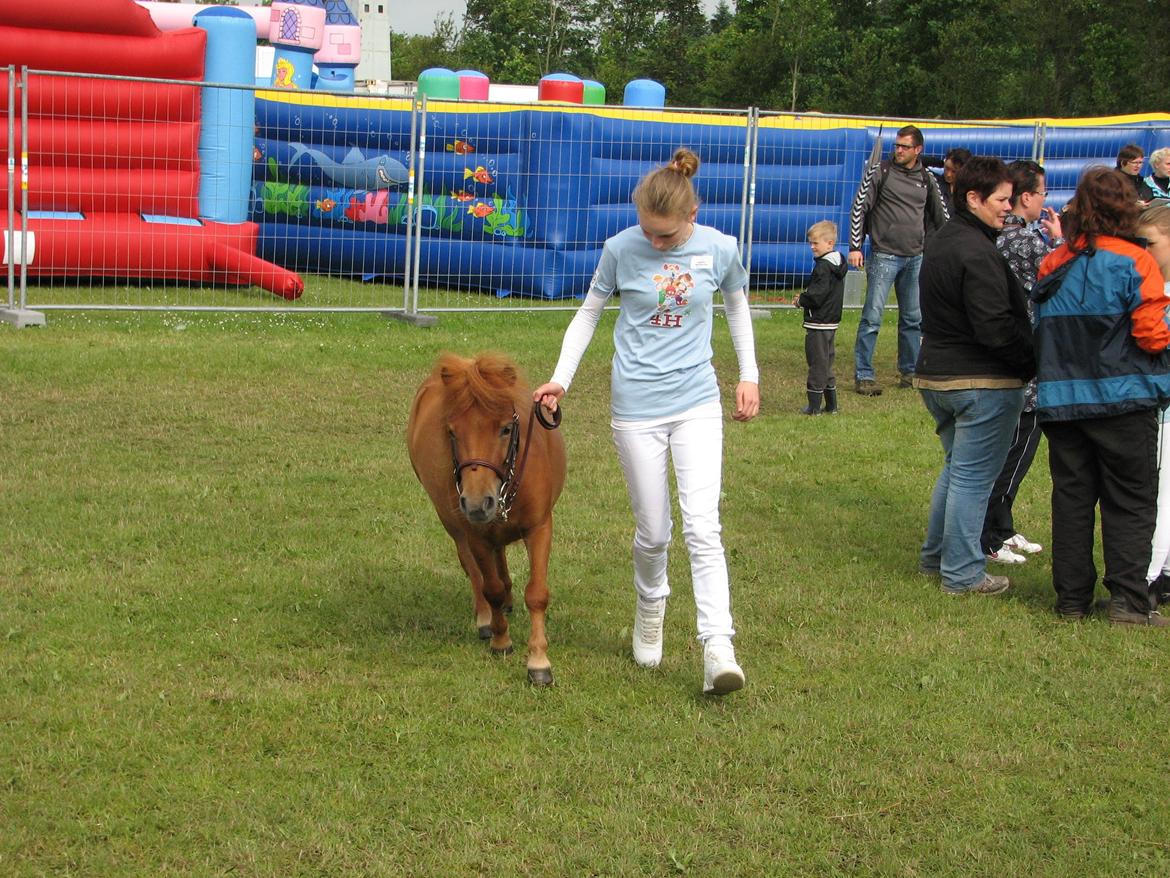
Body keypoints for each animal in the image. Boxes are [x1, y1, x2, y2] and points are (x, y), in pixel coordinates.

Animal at [407, 353, 566, 688]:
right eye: (452, 432)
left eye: (505, 429)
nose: (478, 503)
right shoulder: (476, 534)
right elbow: (489, 586)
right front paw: (500, 640)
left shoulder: (540, 528)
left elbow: (536, 594)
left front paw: (538, 662)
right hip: (454, 525)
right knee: (474, 571)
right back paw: (486, 618)